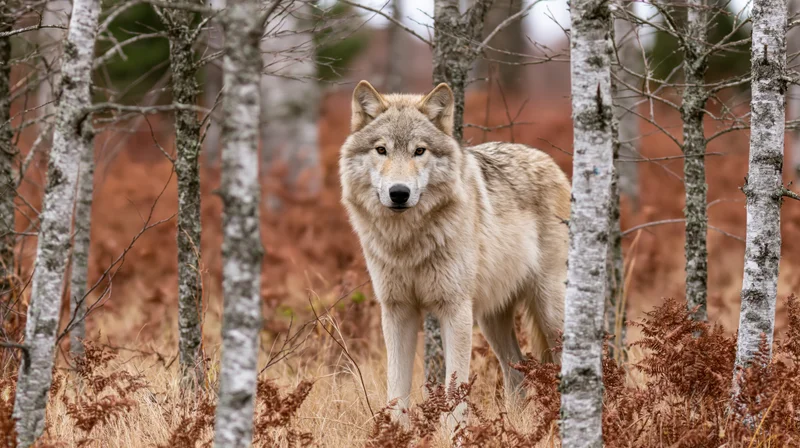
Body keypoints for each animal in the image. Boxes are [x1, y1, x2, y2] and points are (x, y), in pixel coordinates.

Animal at [339, 80, 570, 426]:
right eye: (381, 150)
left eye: (420, 151)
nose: (399, 193)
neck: (407, 242)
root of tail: (551, 161)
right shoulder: (397, 311)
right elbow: (397, 388)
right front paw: (398, 431)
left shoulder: (455, 310)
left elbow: (455, 386)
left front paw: (455, 431)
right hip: (491, 320)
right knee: (517, 370)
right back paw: (516, 423)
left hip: (550, 311)